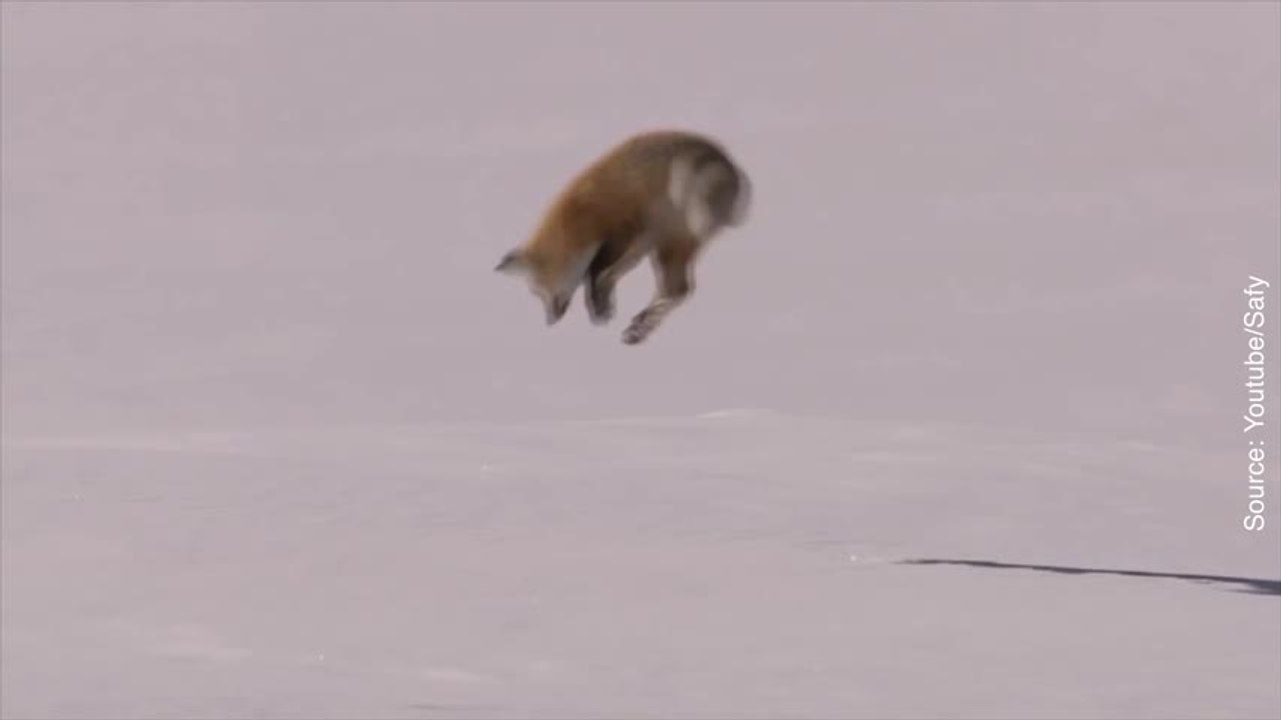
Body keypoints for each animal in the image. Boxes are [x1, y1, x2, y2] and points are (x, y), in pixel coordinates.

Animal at [494, 129, 752, 345]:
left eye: (538, 290)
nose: (550, 321)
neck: (579, 217)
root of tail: (729, 164)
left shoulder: (623, 231)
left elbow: (595, 272)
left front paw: (599, 306)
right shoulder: (638, 244)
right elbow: (605, 275)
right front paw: (602, 307)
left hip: (673, 235)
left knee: (678, 289)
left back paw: (640, 328)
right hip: (665, 246)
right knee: (676, 289)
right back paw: (641, 323)